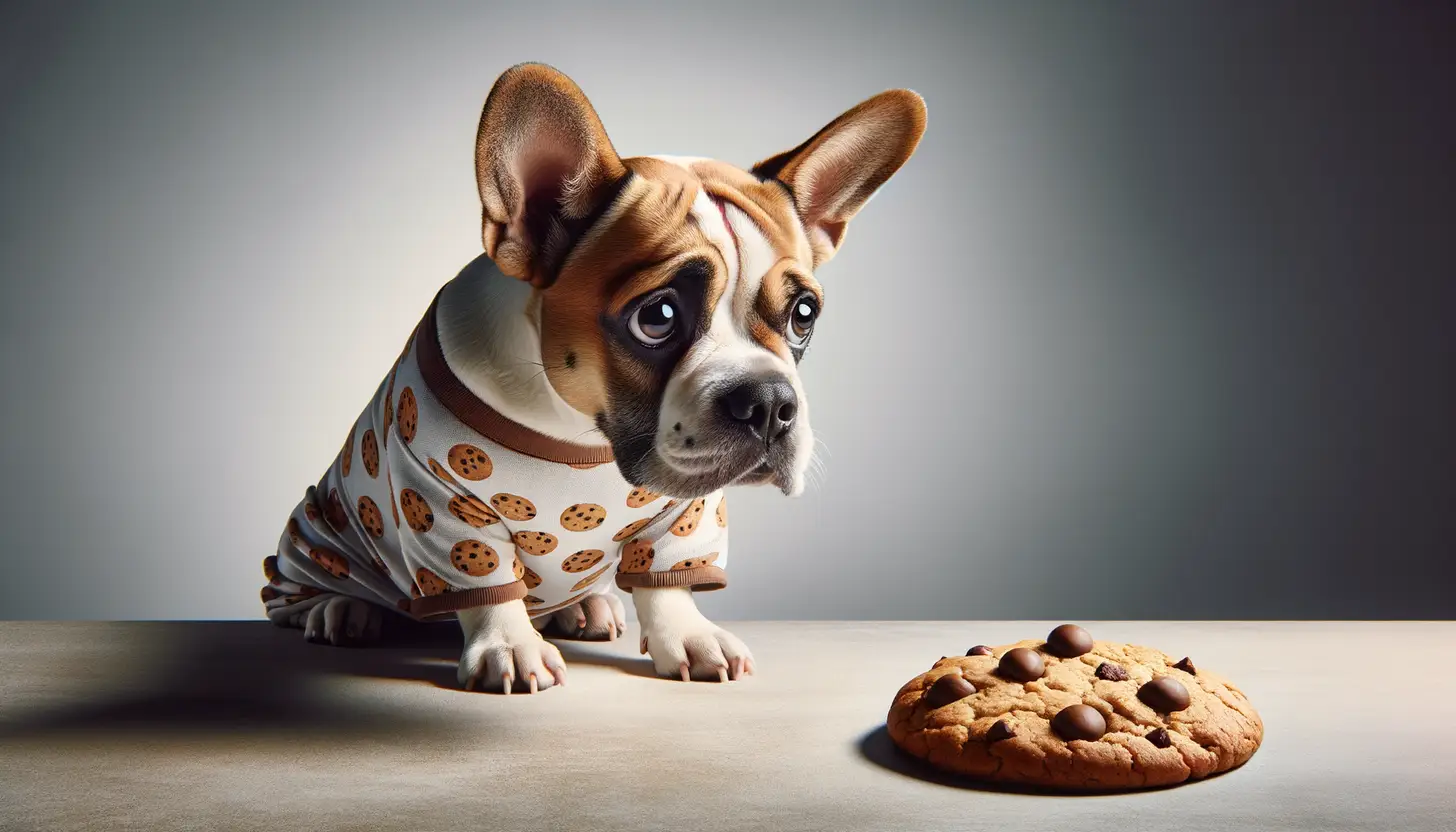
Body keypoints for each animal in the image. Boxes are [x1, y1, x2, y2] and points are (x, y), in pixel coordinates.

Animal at [260, 61, 920, 693]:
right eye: (657, 317)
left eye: (804, 314)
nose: (769, 402)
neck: (581, 434)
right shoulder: (440, 502)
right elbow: (485, 578)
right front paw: (508, 647)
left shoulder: (687, 511)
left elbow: (667, 576)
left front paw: (688, 636)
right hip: (317, 531)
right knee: (300, 590)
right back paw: (341, 610)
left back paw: (584, 608)